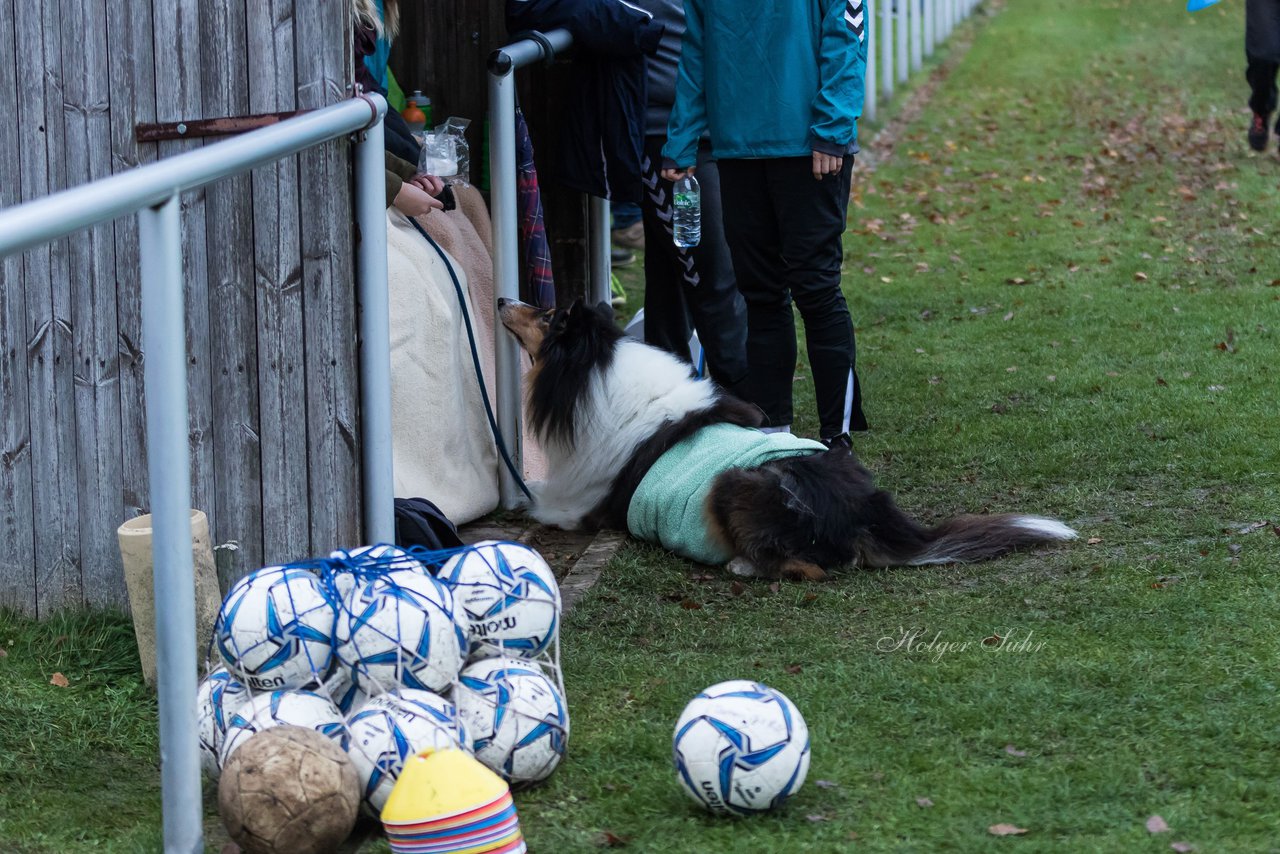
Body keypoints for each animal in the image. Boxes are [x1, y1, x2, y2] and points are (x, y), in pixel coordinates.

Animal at [494, 297, 1075, 583]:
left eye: (549, 315)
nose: (501, 297)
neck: (592, 371)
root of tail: (866, 509)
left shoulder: (577, 507)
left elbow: (536, 500)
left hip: (735, 483)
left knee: (812, 570)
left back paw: (741, 564)